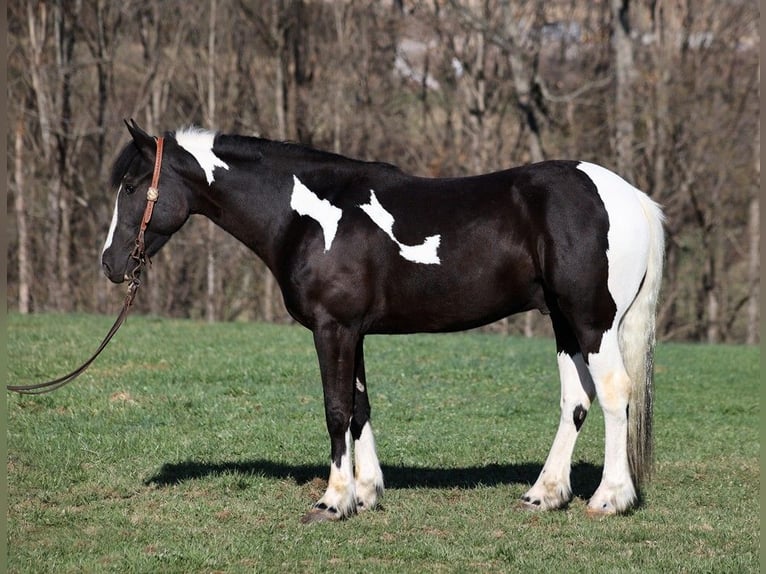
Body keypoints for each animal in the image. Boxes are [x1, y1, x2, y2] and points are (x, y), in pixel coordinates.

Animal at [102, 121, 664, 528]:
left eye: (131, 186)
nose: (111, 264)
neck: (309, 216)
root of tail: (629, 196)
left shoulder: (332, 329)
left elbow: (335, 410)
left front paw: (333, 502)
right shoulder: (354, 332)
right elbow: (359, 406)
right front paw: (367, 492)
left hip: (592, 322)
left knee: (614, 392)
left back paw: (609, 498)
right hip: (564, 323)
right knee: (576, 400)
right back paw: (543, 495)